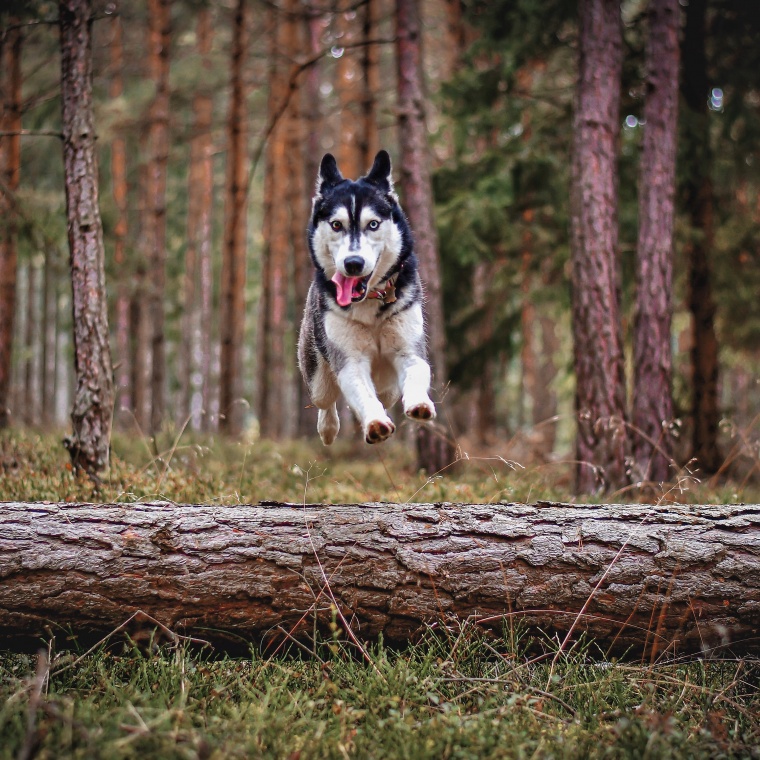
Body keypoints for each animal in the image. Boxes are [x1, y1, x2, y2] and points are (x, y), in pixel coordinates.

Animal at [298, 150, 436, 446]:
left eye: (373, 224)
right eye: (336, 225)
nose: (353, 263)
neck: (369, 301)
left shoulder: (408, 348)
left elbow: (417, 371)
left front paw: (420, 403)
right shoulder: (350, 361)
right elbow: (362, 392)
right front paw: (375, 422)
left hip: (389, 386)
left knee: (386, 393)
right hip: (317, 376)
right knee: (325, 400)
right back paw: (328, 428)